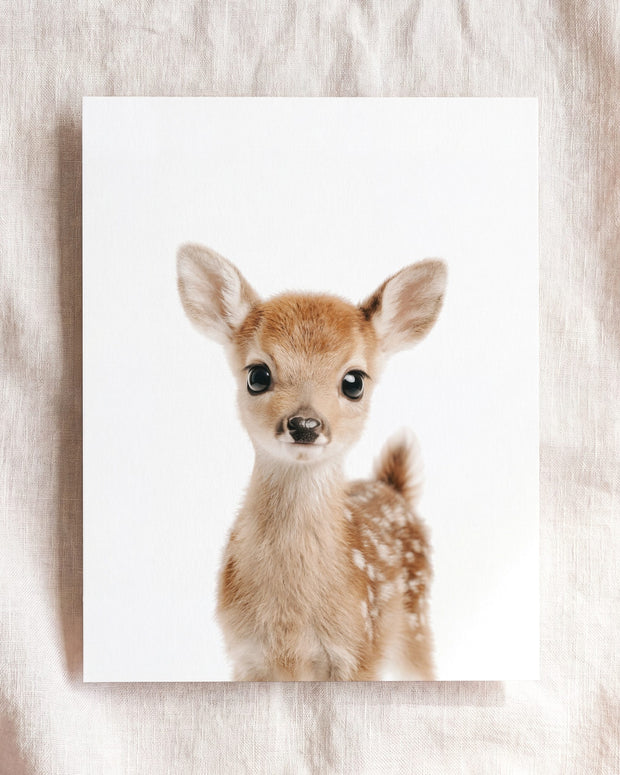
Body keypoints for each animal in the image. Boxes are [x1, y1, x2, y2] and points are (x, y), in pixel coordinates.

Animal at [177, 243, 446, 681]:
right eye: (257, 375)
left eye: (354, 381)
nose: (305, 424)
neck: (291, 623)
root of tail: (393, 487)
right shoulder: (245, 655)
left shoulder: (358, 651)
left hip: (415, 625)